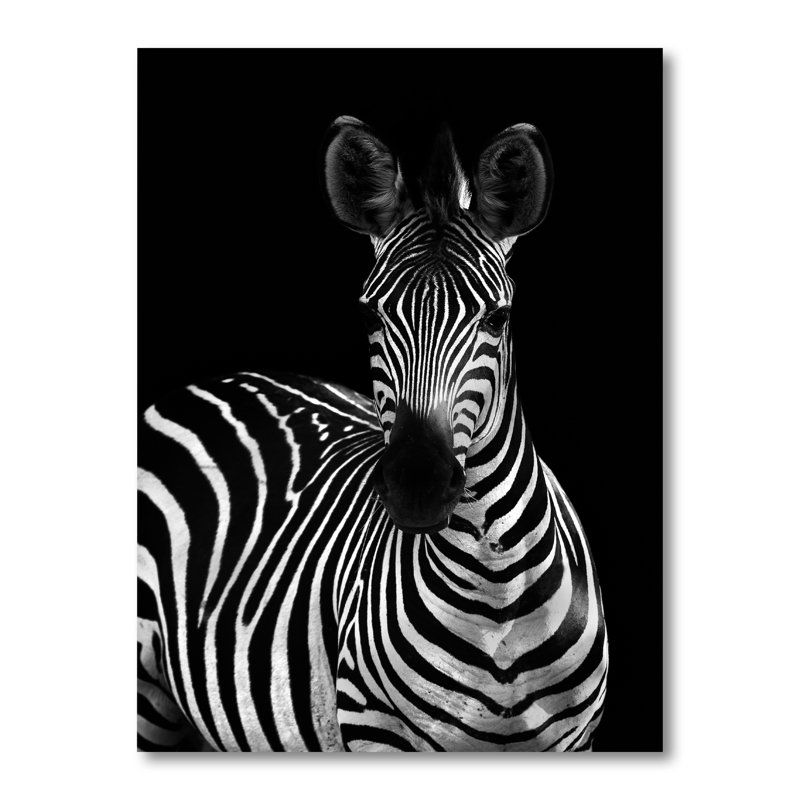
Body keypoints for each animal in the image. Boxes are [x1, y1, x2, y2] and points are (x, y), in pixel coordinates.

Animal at [137, 116, 608, 752]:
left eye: (498, 318)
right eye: (369, 316)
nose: (418, 488)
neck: (497, 597)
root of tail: (224, 378)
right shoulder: (373, 729)